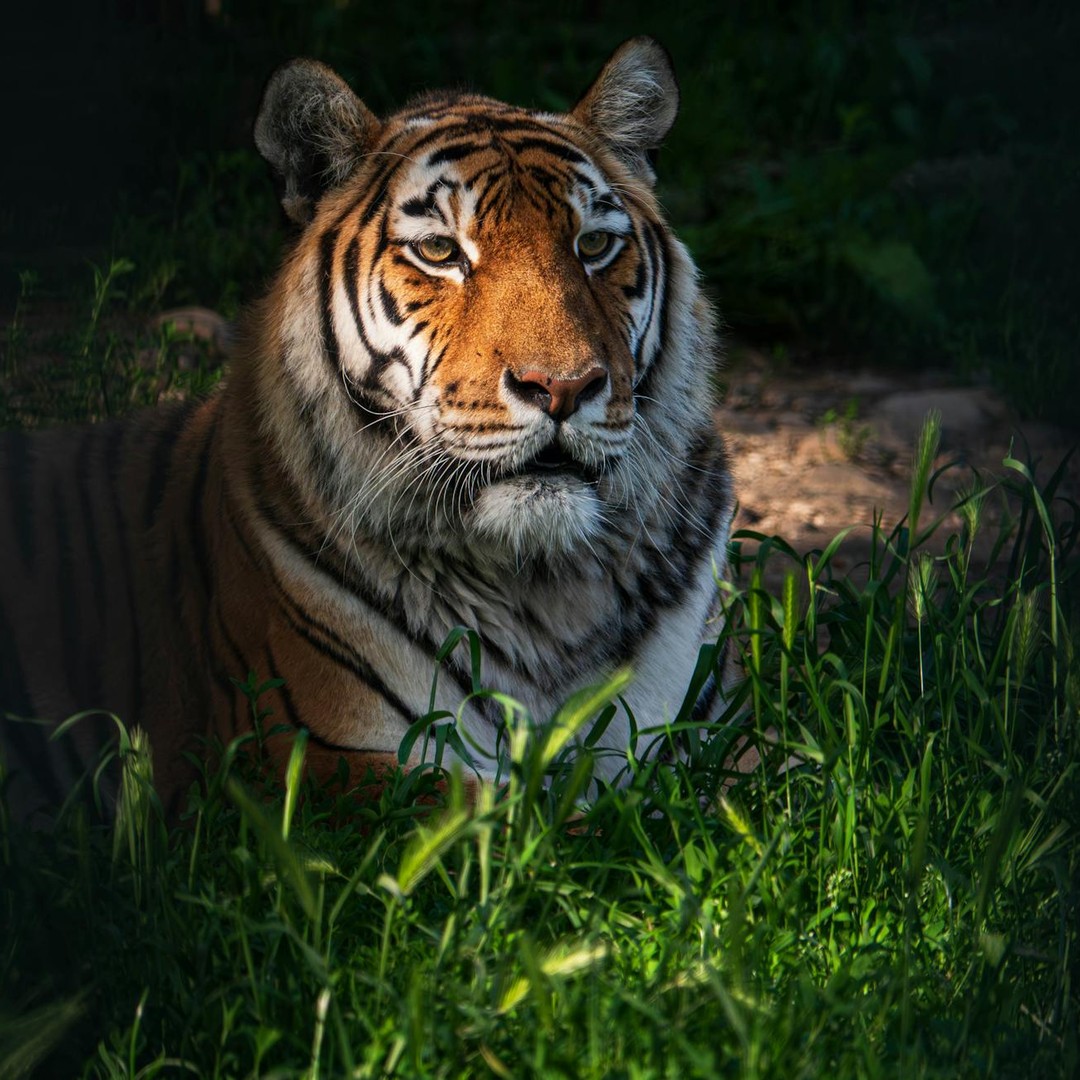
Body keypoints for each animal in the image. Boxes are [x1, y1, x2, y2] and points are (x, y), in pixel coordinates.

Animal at [0, 37, 736, 822]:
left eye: (593, 244)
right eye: (441, 252)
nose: (561, 386)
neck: (544, 591)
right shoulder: (302, 759)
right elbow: (537, 824)